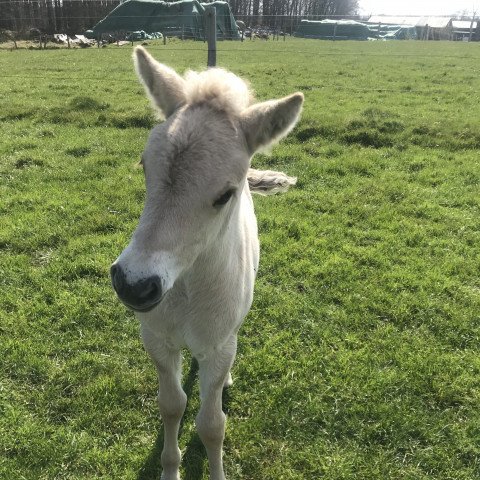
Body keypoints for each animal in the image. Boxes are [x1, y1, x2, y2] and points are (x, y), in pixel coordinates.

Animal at [110, 46, 302, 480]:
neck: (185, 290)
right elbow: (172, 405)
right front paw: (170, 468)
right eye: (144, 165)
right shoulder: (157, 339)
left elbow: (213, 425)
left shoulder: (216, 347)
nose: (134, 284)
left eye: (225, 194)